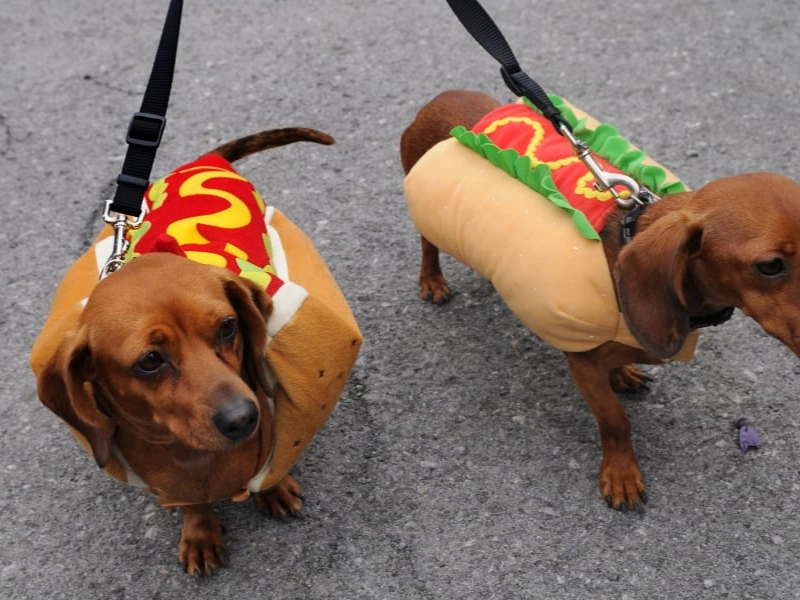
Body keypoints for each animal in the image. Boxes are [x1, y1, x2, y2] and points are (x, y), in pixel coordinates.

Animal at [31, 127, 362, 575]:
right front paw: (201, 532)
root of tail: (203, 161)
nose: (244, 419)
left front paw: (274, 490)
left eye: (227, 326)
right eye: (150, 360)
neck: (192, 457)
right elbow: (194, 507)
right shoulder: (174, 487)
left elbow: (271, 471)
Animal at [401, 89, 800, 512]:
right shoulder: (582, 365)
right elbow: (614, 420)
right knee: (427, 246)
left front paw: (622, 372)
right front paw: (621, 474)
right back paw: (432, 281)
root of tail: (444, 97)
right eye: (770, 265)